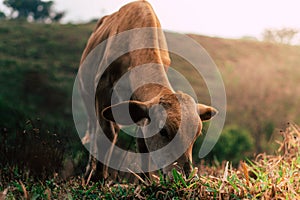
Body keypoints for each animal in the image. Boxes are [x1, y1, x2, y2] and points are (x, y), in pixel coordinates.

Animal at [78, 0, 217, 181]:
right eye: (163, 131)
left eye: (196, 135)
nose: (184, 177)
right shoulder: (103, 86)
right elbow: (104, 134)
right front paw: (98, 177)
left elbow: (142, 143)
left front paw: (146, 181)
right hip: (86, 95)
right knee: (96, 131)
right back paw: (90, 171)